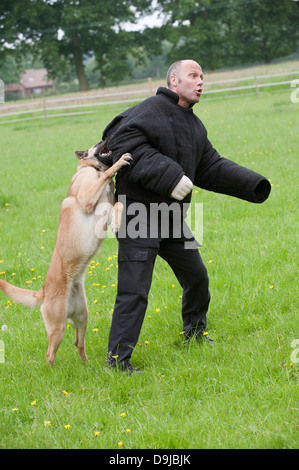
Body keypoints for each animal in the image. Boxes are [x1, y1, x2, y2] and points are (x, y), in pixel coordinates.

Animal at [0, 141, 132, 366]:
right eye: (97, 144)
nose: (105, 139)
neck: (93, 169)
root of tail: (43, 290)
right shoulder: (88, 198)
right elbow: (109, 180)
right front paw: (119, 163)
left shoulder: (105, 205)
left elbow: (117, 203)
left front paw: (116, 222)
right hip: (58, 326)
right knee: (50, 354)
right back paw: (52, 372)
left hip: (82, 316)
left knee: (78, 343)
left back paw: (87, 366)